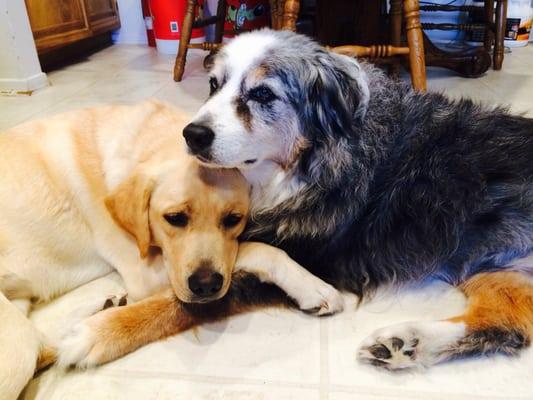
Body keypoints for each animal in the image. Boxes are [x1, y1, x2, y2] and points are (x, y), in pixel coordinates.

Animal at [181, 29, 528, 370]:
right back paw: (405, 344)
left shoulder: (316, 249)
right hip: (497, 268)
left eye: (263, 94)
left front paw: (313, 287)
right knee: (507, 324)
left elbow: (250, 248)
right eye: (213, 85)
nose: (192, 134)